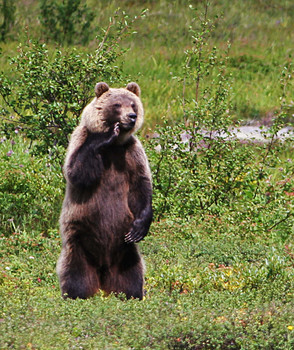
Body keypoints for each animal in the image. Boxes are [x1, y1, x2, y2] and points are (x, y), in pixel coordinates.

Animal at [56, 80, 153, 300]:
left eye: (133, 104)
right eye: (117, 104)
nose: (131, 116)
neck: (114, 146)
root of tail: (102, 270)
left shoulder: (131, 153)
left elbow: (141, 185)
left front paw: (140, 226)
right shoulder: (80, 140)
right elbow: (78, 171)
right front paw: (107, 134)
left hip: (125, 249)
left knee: (132, 271)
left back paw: (132, 292)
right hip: (79, 236)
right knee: (74, 269)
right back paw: (76, 293)